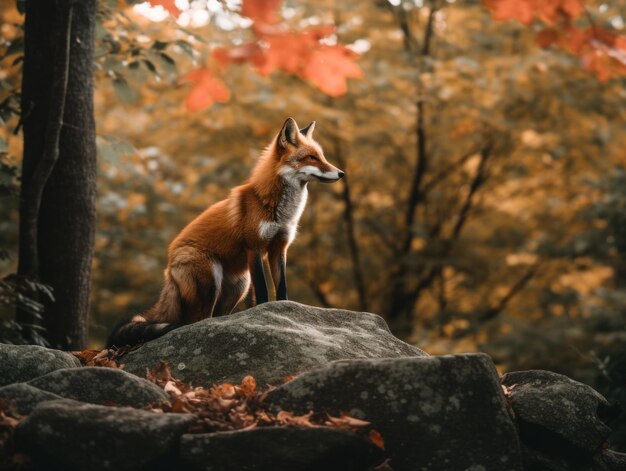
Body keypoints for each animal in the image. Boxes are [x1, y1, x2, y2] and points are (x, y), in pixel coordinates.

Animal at [106, 118, 342, 346]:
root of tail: (168, 270)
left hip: (238, 286)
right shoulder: (254, 248)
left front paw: (284, 313)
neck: (277, 208)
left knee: (216, 317)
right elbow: (263, 291)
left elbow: (282, 288)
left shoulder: (279, 247)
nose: (341, 173)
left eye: (321, 156)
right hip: (211, 282)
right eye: (311, 157)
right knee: (195, 321)